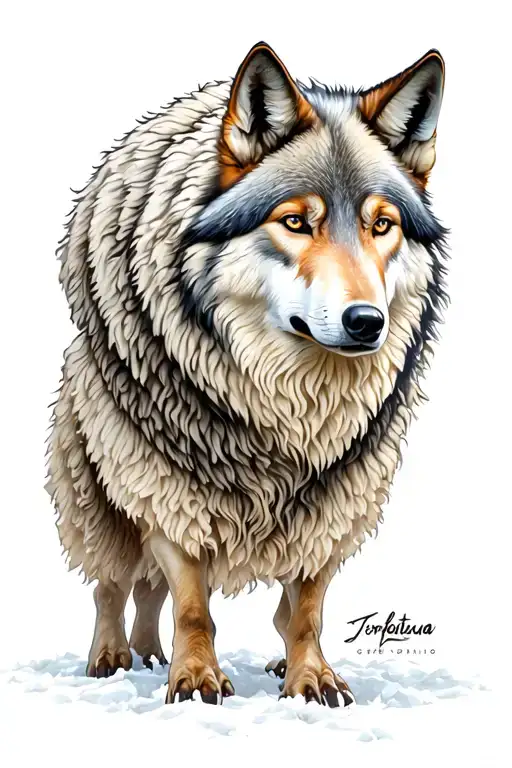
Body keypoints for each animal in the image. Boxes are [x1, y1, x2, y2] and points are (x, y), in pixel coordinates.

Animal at [47, 42, 448, 707]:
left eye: (381, 224)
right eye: (295, 222)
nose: (367, 322)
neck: (291, 404)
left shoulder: (334, 498)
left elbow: (306, 610)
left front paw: (310, 679)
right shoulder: (169, 485)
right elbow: (191, 605)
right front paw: (195, 679)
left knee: (169, 595)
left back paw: (166, 655)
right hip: (103, 491)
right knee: (114, 584)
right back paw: (114, 657)